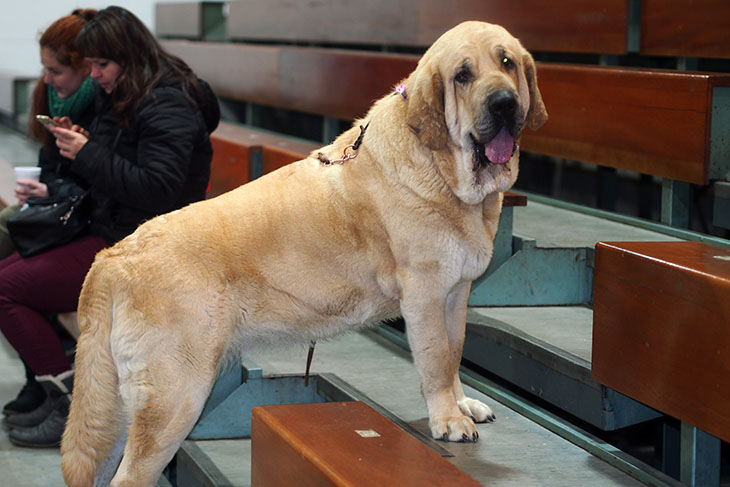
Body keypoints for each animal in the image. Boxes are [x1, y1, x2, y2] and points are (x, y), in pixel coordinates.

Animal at [59, 21, 544, 487]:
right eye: (463, 75)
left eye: (506, 63)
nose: (503, 104)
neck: (445, 171)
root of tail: (111, 258)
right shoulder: (425, 296)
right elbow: (437, 361)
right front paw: (448, 419)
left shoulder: (455, 293)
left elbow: (455, 351)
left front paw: (461, 405)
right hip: (175, 397)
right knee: (130, 476)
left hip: (119, 409)